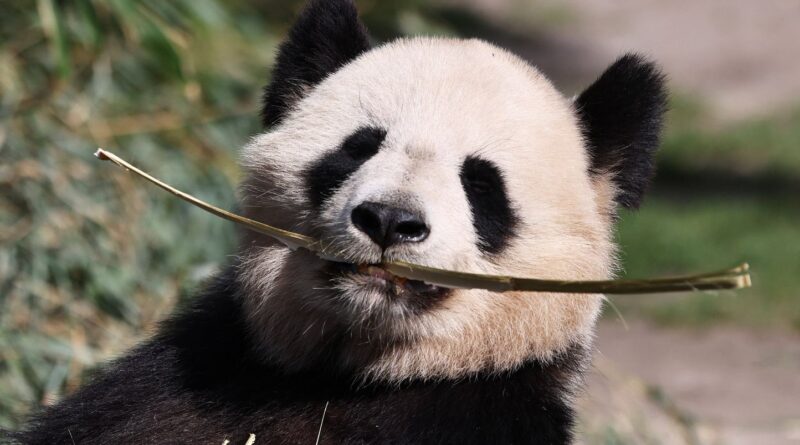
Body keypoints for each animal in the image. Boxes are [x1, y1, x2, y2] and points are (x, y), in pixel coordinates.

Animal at [14, 0, 666, 443]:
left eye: (481, 184)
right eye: (358, 148)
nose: (390, 220)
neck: (352, 375)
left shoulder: (485, 413)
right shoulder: (183, 382)